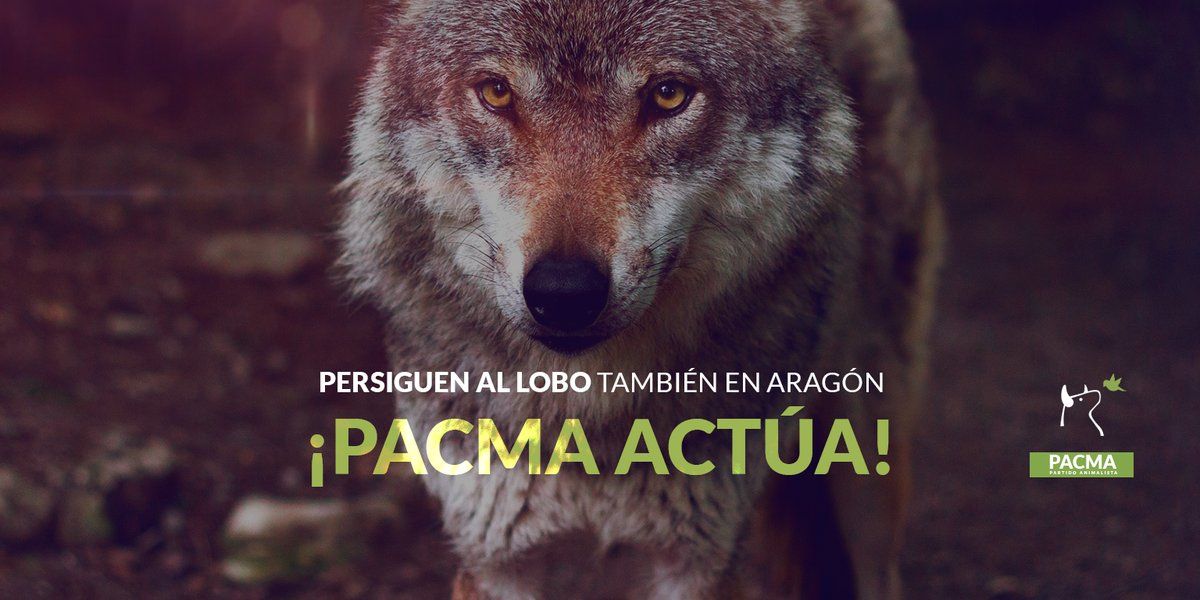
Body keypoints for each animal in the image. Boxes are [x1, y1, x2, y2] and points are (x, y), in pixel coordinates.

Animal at [338, 0, 942, 597]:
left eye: (668, 95)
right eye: (497, 93)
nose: (564, 292)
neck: (590, 419)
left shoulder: (698, 560)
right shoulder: (495, 557)